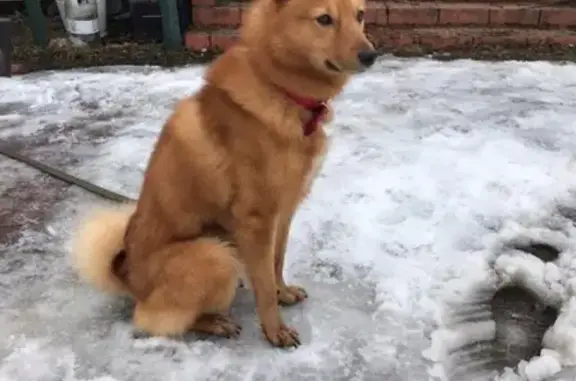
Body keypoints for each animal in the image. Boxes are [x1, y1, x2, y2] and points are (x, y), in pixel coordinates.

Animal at [71, 0, 378, 348]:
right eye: (324, 19)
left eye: (360, 15)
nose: (371, 55)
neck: (277, 87)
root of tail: (128, 277)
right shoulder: (257, 220)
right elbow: (264, 286)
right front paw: (274, 330)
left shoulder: (284, 212)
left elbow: (276, 262)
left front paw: (282, 292)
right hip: (215, 255)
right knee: (153, 319)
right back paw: (214, 323)